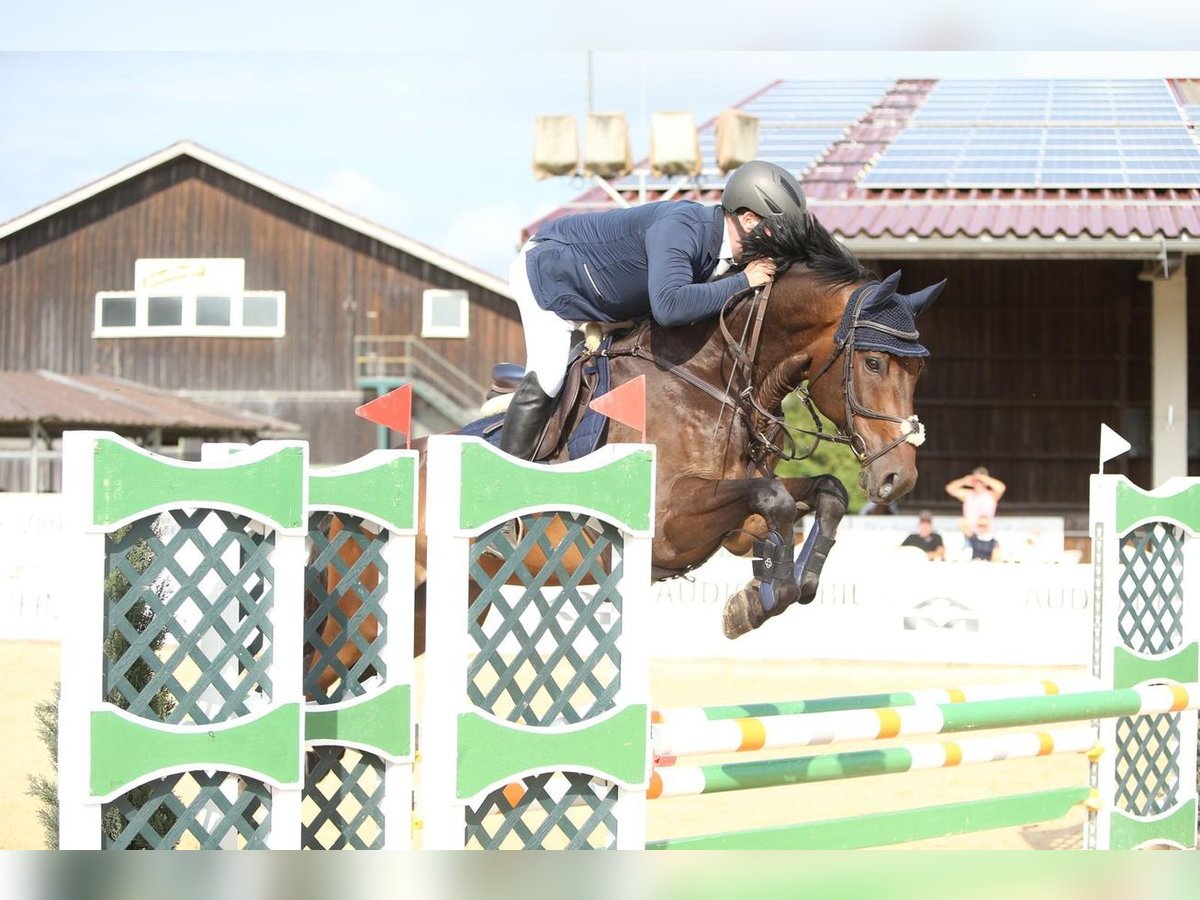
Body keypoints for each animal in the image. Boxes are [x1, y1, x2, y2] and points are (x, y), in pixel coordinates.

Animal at [304, 211, 940, 691]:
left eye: (916, 371)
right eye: (874, 362)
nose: (899, 480)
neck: (712, 381)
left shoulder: (735, 524)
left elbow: (817, 496)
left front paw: (768, 596)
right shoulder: (669, 522)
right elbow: (775, 499)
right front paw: (760, 599)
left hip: (441, 604)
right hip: (361, 615)